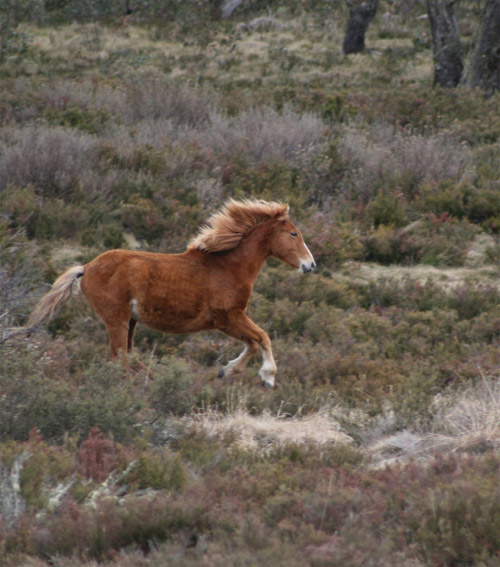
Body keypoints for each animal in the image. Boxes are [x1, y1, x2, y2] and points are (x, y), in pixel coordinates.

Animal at [27, 197, 314, 388]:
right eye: (293, 234)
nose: (310, 265)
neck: (228, 266)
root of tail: (86, 268)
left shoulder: (229, 320)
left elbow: (253, 342)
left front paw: (227, 371)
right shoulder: (227, 317)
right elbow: (263, 338)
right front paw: (268, 377)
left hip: (130, 321)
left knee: (125, 356)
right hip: (116, 319)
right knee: (120, 358)